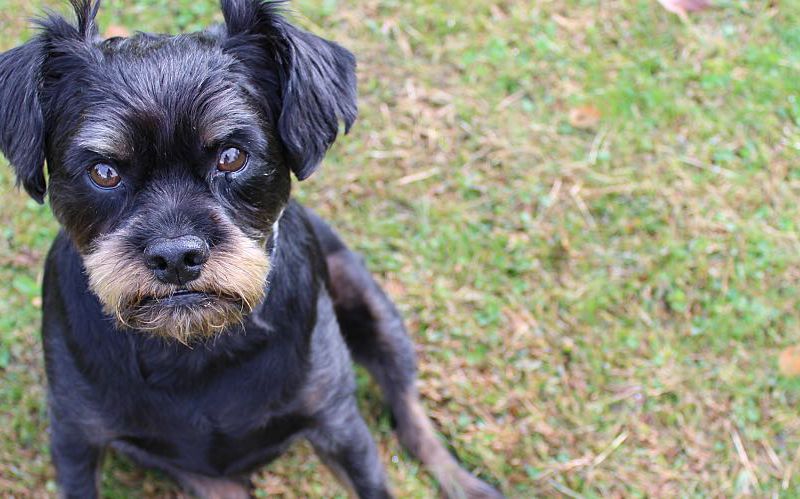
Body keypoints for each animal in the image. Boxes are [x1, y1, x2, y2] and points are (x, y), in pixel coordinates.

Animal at [0, 1, 500, 498]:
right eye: (103, 171)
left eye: (232, 157)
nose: (176, 257)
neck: (195, 347)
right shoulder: (76, 440)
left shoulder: (338, 424)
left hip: (373, 307)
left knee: (410, 413)